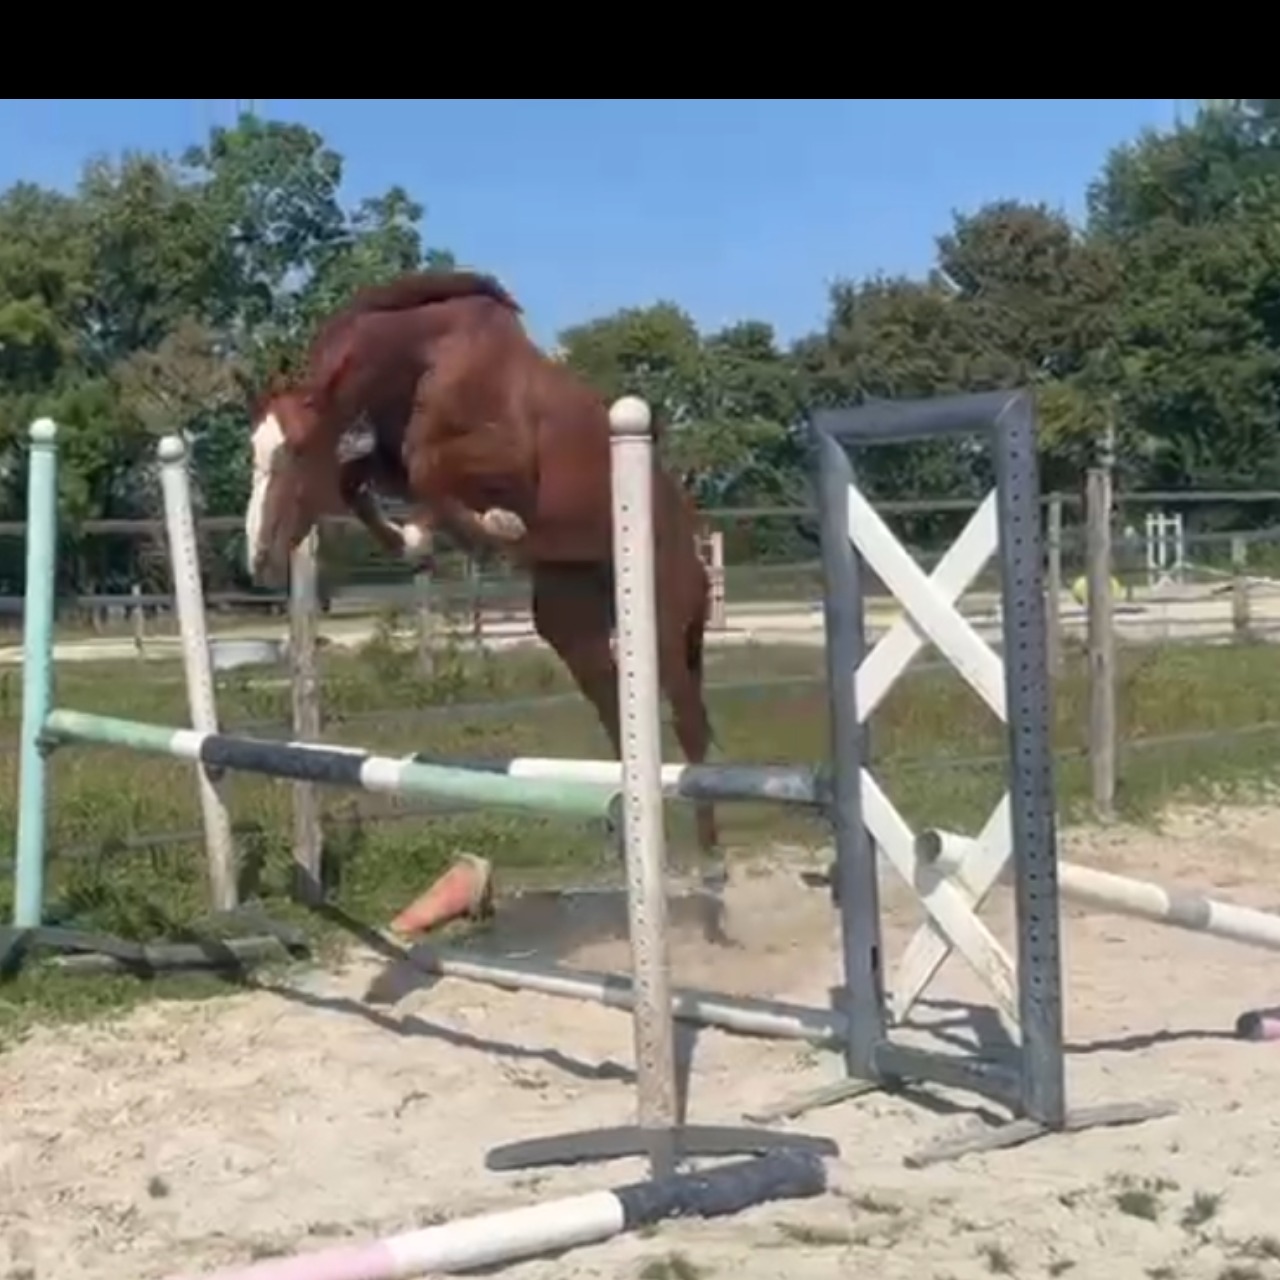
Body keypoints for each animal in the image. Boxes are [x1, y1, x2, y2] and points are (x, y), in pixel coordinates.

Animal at [241, 270, 721, 849]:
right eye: (252, 451)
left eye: (295, 449)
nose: (258, 556)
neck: (430, 356)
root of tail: (693, 535)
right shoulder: (389, 459)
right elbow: (363, 477)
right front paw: (418, 542)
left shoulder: (504, 463)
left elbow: (426, 471)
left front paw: (493, 527)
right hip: (573, 626)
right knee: (616, 710)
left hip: (662, 626)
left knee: (691, 728)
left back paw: (709, 857)